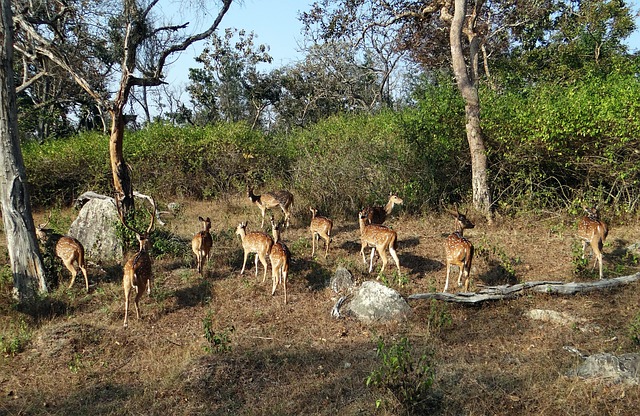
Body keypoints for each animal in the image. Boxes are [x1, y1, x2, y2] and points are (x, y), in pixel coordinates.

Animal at [117, 196, 156, 328]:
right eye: (150, 239)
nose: (152, 246)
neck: (142, 251)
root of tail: (132, 269)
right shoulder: (149, 272)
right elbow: (150, 280)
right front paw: (150, 292)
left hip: (125, 282)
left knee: (127, 300)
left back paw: (125, 323)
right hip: (140, 281)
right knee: (135, 299)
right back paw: (139, 317)